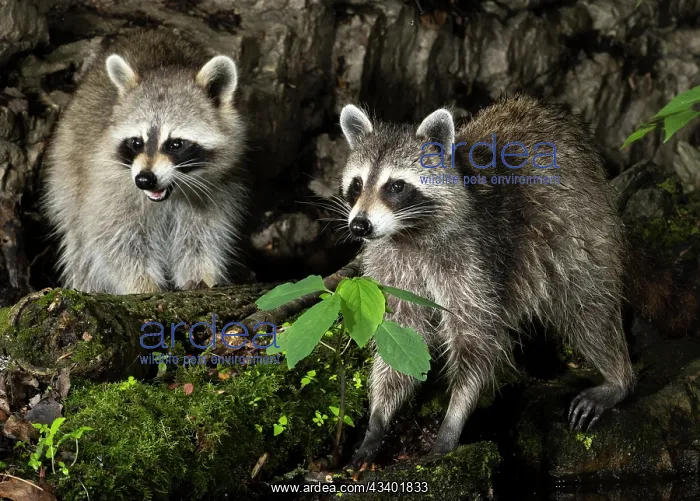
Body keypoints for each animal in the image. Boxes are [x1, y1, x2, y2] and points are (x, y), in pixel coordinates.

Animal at [44, 30, 246, 294]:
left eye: (175, 144)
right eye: (136, 142)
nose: (144, 179)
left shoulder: (217, 190)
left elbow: (202, 235)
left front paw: (200, 274)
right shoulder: (108, 188)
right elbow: (115, 240)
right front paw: (142, 285)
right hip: (67, 172)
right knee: (81, 247)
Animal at [338, 96, 636, 467]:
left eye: (396, 186)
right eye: (357, 184)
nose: (359, 225)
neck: (407, 234)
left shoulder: (475, 259)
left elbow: (476, 335)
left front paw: (453, 419)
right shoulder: (389, 265)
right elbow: (400, 331)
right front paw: (378, 419)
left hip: (582, 230)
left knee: (588, 307)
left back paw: (617, 377)